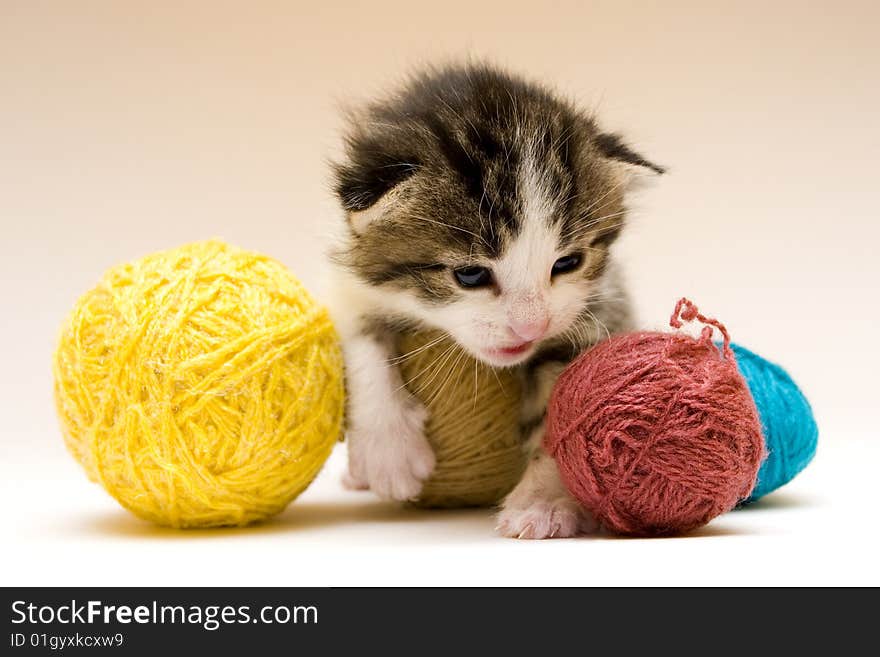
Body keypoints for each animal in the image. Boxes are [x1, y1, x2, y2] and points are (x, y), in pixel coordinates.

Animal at [326, 64, 664, 540]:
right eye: (470, 275)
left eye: (568, 262)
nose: (532, 327)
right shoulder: (349, 280)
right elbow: (361, 336)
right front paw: (387, 450)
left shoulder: (603, 303)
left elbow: (568, 409)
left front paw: (544, 502)